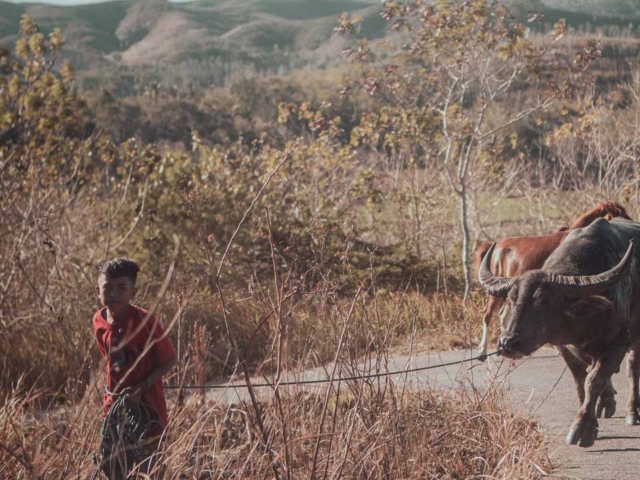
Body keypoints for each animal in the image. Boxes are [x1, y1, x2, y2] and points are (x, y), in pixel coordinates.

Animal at [480, 219, 640, 448]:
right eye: (511, 298)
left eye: (544, 300)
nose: (507, 343)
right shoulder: (563, 346)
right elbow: (581, 380)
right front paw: (593, 421)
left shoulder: (619, 342)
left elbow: (594, 379)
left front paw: (581, 429)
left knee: (632, 367)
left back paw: (632, 412)